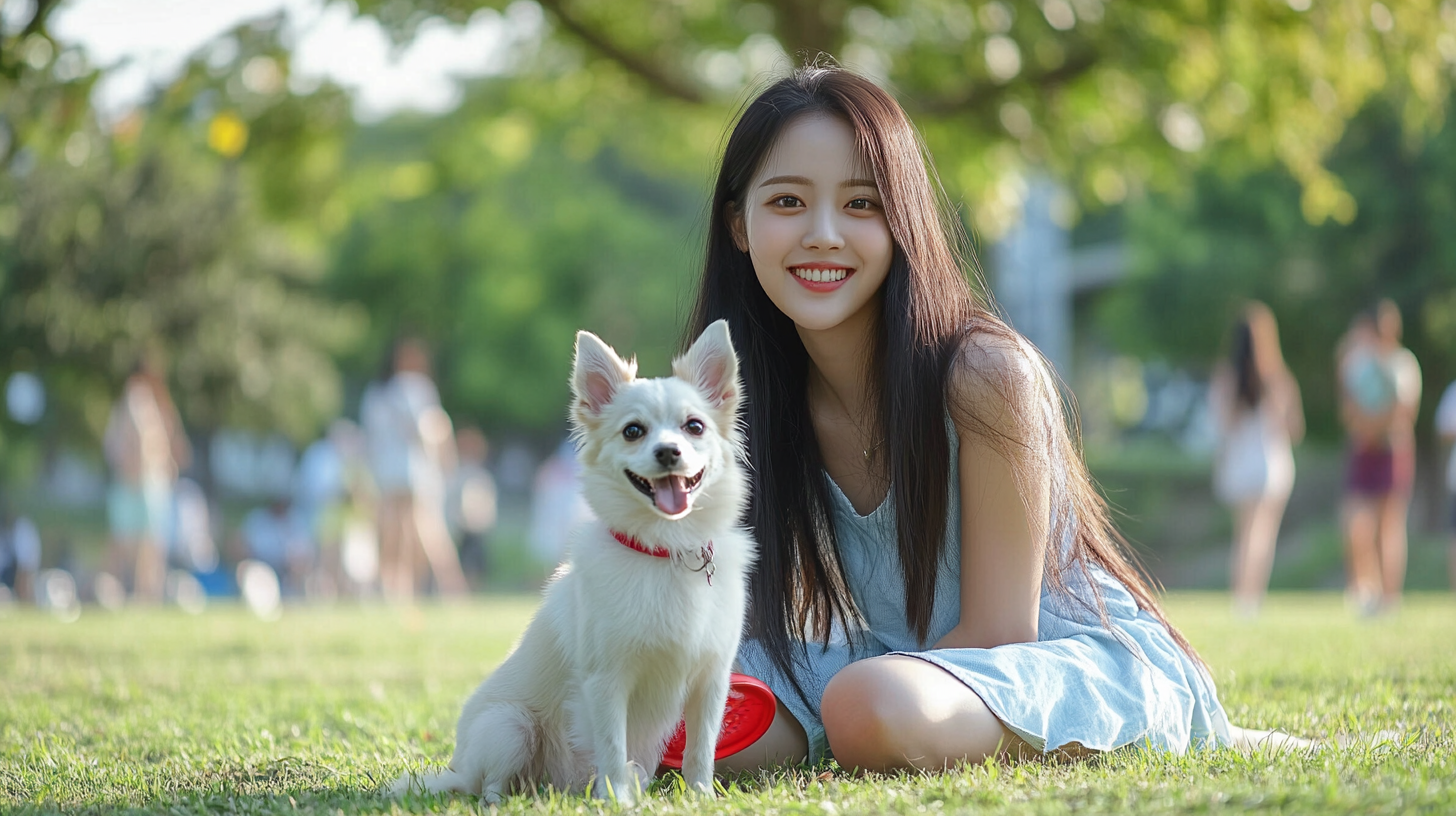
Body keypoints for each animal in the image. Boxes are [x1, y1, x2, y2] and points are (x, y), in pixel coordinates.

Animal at [390, 319, 751, 804]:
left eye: (694, 427)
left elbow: (701, 750)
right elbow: (613, 747)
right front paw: (618, 802)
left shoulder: (710, 682)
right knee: (489, 785)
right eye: (633, 431)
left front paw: (700, 797)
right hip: (510, 726)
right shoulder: (606, 681)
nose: (669, 451)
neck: (665, 550)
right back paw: (504, 801)